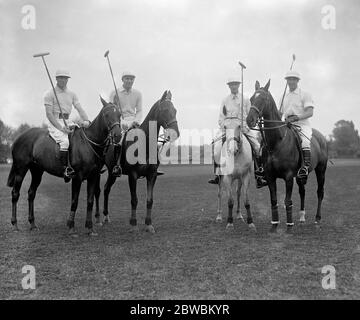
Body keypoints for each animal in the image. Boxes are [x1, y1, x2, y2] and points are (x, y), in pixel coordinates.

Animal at [6, 97, 122, 235]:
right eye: (106, 114)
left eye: (119, 114)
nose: (118, 135)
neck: (89, 143)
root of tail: (18, 138)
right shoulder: (77, 177)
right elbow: (74, 201)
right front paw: (71, 226)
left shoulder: (93, 176)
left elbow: (90, 201)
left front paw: (90, 228)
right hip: (21, 169)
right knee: (15, 193)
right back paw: (14, 224)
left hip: (37, 171)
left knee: (31, 193)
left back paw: (33, 224)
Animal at [95, 90, 180, 232]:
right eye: (164, 110)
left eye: (175, 110)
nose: (175, 134)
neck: (144, 144)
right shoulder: (133, 175)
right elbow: (134, 200)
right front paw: (133, 224)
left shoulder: (152, 175)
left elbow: (149, 200)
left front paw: (149, 224)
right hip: (105, 172)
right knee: (103, 190)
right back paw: (102, 218)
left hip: (112, 174)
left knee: (106, 189)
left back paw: (106, 216)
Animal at [246, 80, 328, 232]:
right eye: (251, 99)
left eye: (263, 99)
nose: (249, 120)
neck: (276, 142)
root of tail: (321, 137)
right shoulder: (270, 176)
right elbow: (274, 200)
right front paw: (274, 225)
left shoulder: (288, 176)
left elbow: (287, 201)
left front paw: (289, 226)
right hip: (302, 175)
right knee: (302, 191)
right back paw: (301, 218)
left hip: (321, 169)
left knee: (320, 191)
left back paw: (317, 219)